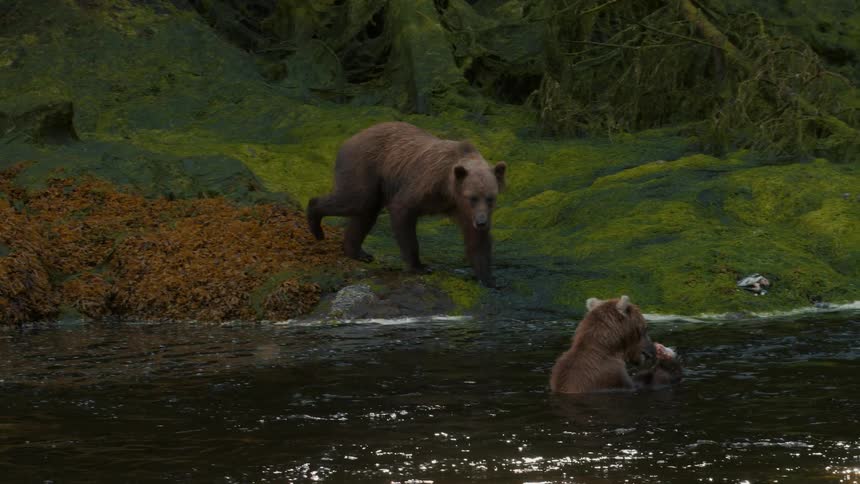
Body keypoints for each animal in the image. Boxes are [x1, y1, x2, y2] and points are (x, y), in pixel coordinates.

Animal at [307, 122, 506, 287]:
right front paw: (420, 266)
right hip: (365, 167)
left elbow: (476, 240)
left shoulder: (461, 208)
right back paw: (316, 223)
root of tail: (350, 138)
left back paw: (359, 253)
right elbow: (403, 211)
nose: (481, 222)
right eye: (472, 197)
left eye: (490, 198)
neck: (448, 189)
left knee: (366, 213)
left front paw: (489, 278)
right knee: (356, 201)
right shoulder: (424, 183)